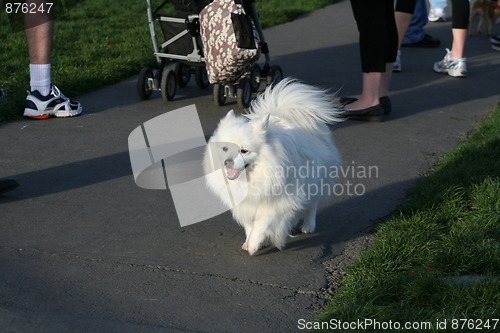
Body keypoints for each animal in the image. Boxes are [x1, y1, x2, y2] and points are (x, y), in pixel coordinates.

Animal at [203, 78, 344, 254]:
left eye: (244, 151)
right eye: (224, 148)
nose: (227, 161)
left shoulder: (277, 203)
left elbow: (262, 224)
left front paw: (254, 244)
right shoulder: (246, 205)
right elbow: (250, 225)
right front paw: (250, 241)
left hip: (314, 182)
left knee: (312, 205)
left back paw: (308, 226)